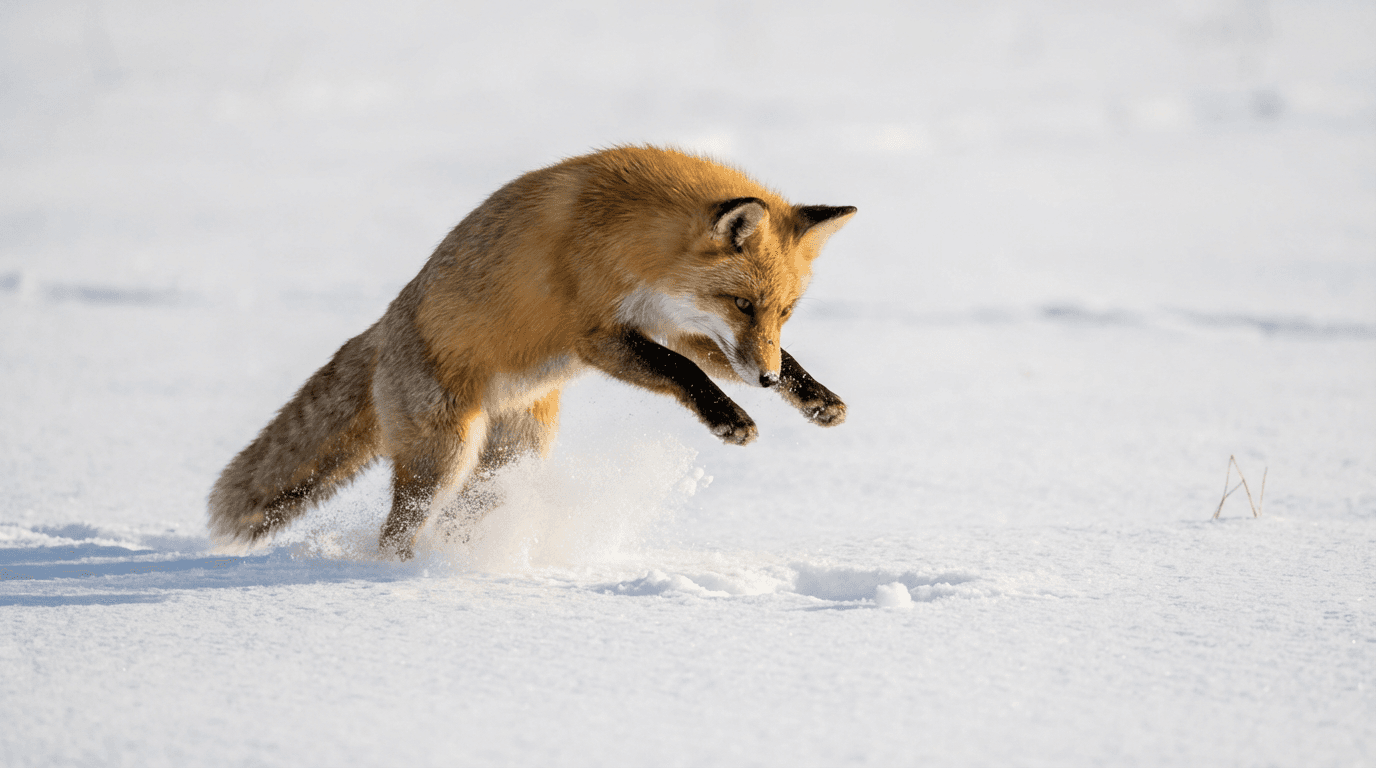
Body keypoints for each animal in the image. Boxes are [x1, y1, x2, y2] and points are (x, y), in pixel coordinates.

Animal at [209, 146, 855, 559]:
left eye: (784, 312)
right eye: (743, 304)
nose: (764, 381)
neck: (634, 238)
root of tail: (386, 324)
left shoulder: (679, 326)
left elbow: (740, 362)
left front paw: (816, 398)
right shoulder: (599, 336)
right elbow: (683, 371)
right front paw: (730, 417)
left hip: (510, 461)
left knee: (460, 516)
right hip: (445, 454)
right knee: (396, 532)